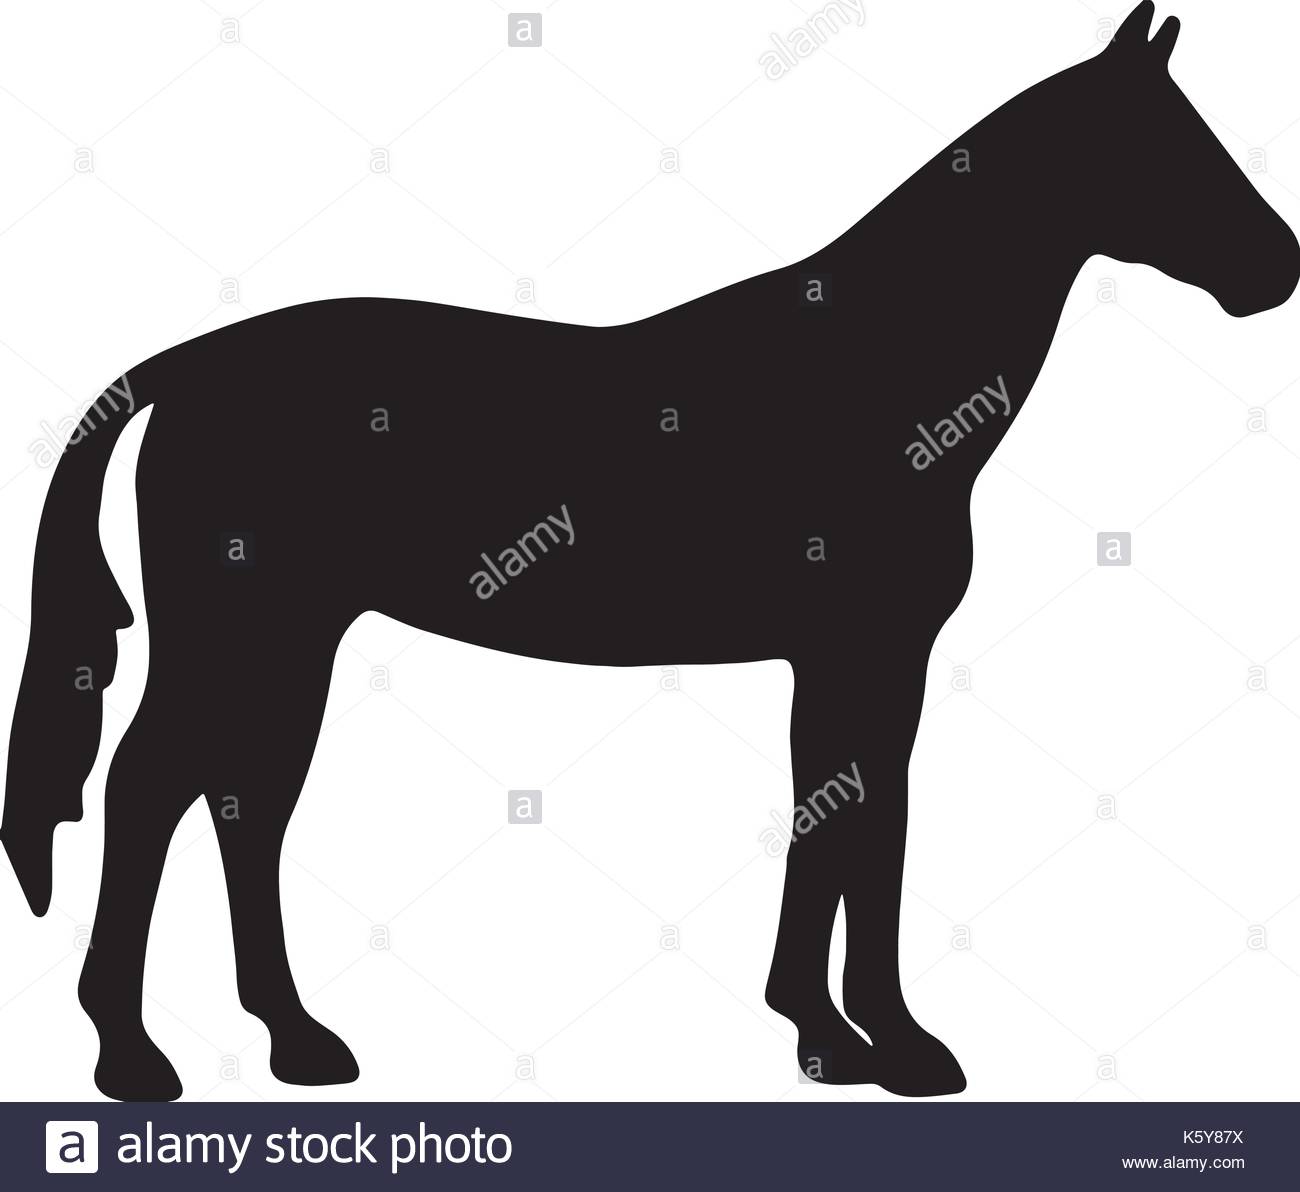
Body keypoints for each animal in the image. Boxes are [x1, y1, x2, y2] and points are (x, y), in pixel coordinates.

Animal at [3, 1, 1296, 1101]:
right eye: (1168, 147)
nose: (1276, 269)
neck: (873, 375)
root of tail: (183, 368)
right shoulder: (866, 649)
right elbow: (864, 816)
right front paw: (892, 1043)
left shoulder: (843, 660)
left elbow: (835, 808)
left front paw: (829, 1035)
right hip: (238, 636)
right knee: (151, 790)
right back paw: (130, 1056)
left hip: (287, 644)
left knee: (244, 806)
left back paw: (297, 1040)